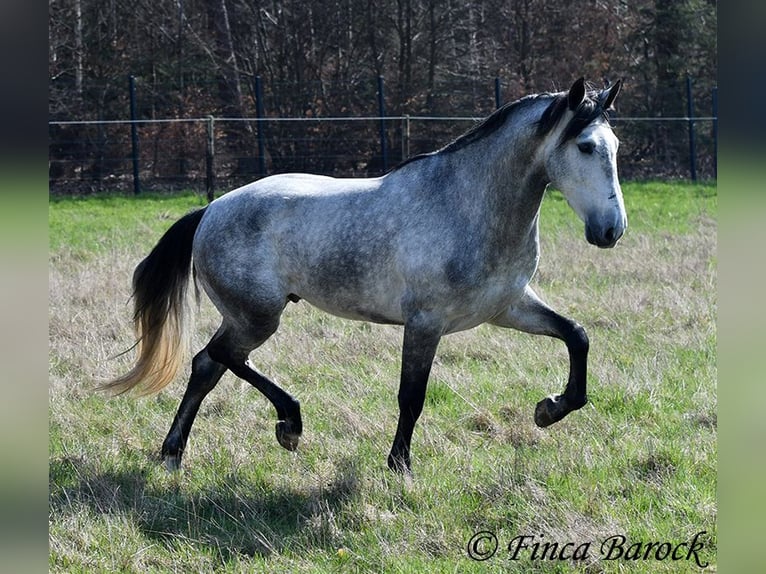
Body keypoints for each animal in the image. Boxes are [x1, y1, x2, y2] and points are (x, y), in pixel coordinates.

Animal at [103, 78, 625, 474]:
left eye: (615, 146)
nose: (611, 231)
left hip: (246, 316)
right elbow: (411, 397)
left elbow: (577, 336)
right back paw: (289, 424)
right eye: (584, 146)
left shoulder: (507, 307)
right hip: (257, 316)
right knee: (220, 357)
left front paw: (550, 409)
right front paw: (399, 467)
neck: (468, 206)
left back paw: (174, 453)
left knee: (206, 366)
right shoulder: (425, 323)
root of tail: (210, 210)